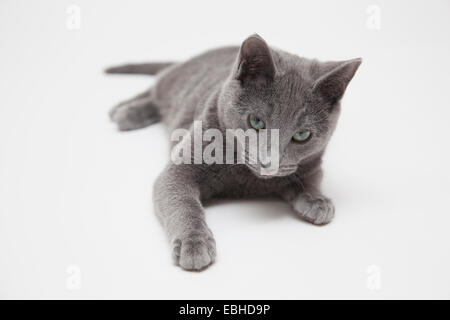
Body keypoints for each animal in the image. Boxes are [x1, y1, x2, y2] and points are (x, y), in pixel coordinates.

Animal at [106, 34, 362, 270]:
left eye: (302, 135)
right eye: (256, 121)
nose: (269, 162)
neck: (246, 179)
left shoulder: (313, 163)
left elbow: (310, 179)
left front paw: (317, 201)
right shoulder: (180, 169)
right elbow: (184, 203)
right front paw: (194, 243)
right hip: (175, 82)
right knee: (156, 87)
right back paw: (125, 111)